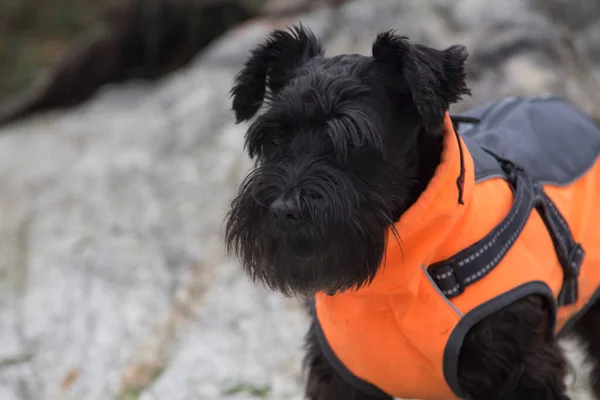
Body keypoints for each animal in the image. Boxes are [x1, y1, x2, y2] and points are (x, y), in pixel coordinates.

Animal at [224, 25, 600, 400]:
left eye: (353, 140)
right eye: (274, 138)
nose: (284, 210)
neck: (393, 283)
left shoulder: (519, 371)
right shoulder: (340, 376)